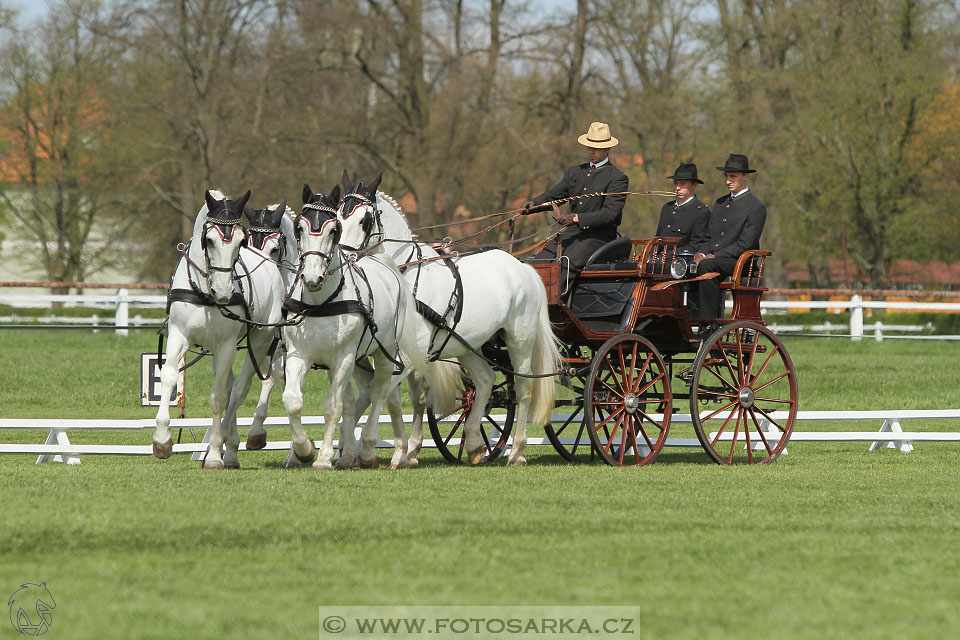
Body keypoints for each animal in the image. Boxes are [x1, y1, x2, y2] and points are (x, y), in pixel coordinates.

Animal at [154, 190, 284, 470]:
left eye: (240, 241)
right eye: (209, 240)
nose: (223, 292)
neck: (204, 291)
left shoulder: (226, 345)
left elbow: (218, 397)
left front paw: (214, 454)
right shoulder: (179, 334)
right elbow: (169, 376)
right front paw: (161, 440)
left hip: (259, 341)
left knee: (239, 389)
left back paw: (229, 445)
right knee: (231, 385)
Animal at [280, 185, 460, 470]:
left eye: (333, 230)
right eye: (299, 227)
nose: (311, 277)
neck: (322, 302)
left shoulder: (344, 358)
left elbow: (333, 407)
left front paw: (324, 457)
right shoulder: (299, 355)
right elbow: (294, 401)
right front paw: (304, 450)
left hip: (386, 354)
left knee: (381, 393)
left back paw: (370, 450)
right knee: (380, 394)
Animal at [338, 172, 564, 468]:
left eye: (364, 220)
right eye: (337, 219)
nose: (343, 257)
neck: (402, 278)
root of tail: (522, 266)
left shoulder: (407, 356)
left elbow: (384, 391)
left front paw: (374, 450)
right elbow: (399, 397)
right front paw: (394, 451)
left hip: (520, 340)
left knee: (524, 389)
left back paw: (516, 452)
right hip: (468, 344)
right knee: (485, 380)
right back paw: (475, 445)